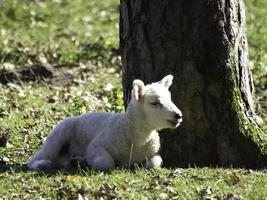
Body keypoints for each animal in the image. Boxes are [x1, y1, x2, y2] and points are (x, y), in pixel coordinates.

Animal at [27, 74, 182, 170]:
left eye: (170, 98)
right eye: (154, 103)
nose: (178, 115)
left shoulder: (153, 152)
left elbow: (156, 162)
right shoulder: (96, 146)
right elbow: (107, 162)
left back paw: (75, 161)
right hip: (58, 135)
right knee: (40, 156)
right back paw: (41, 164)